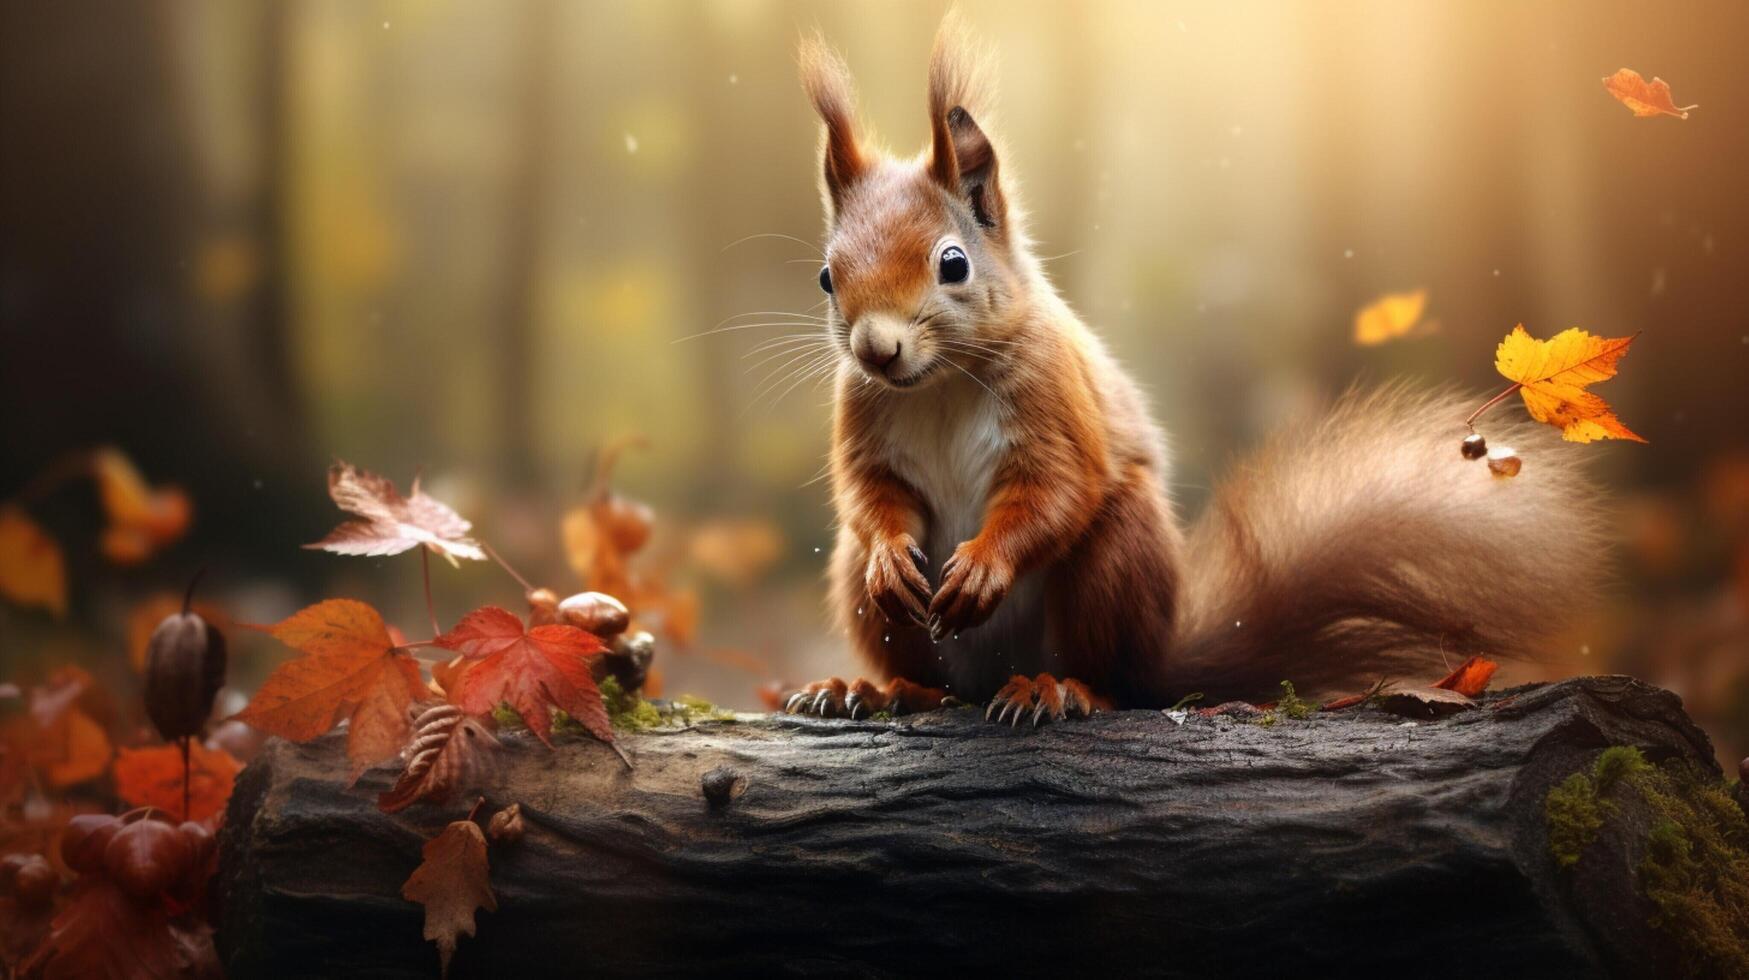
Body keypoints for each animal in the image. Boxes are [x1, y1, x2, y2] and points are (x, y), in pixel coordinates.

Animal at [787, 13, 1602, 721]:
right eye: (826, 277)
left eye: (952, 263)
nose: (876, 348)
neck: (942, 383)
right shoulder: (863, 414)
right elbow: (869, 496)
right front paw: (892, 558)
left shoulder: (1053, 399)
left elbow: (1055, 491)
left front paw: (984, 565)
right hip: (866, 599)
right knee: (924, 669)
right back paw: (876, 690)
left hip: (1120, 558)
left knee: (1110, 674)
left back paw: (1059, 690)